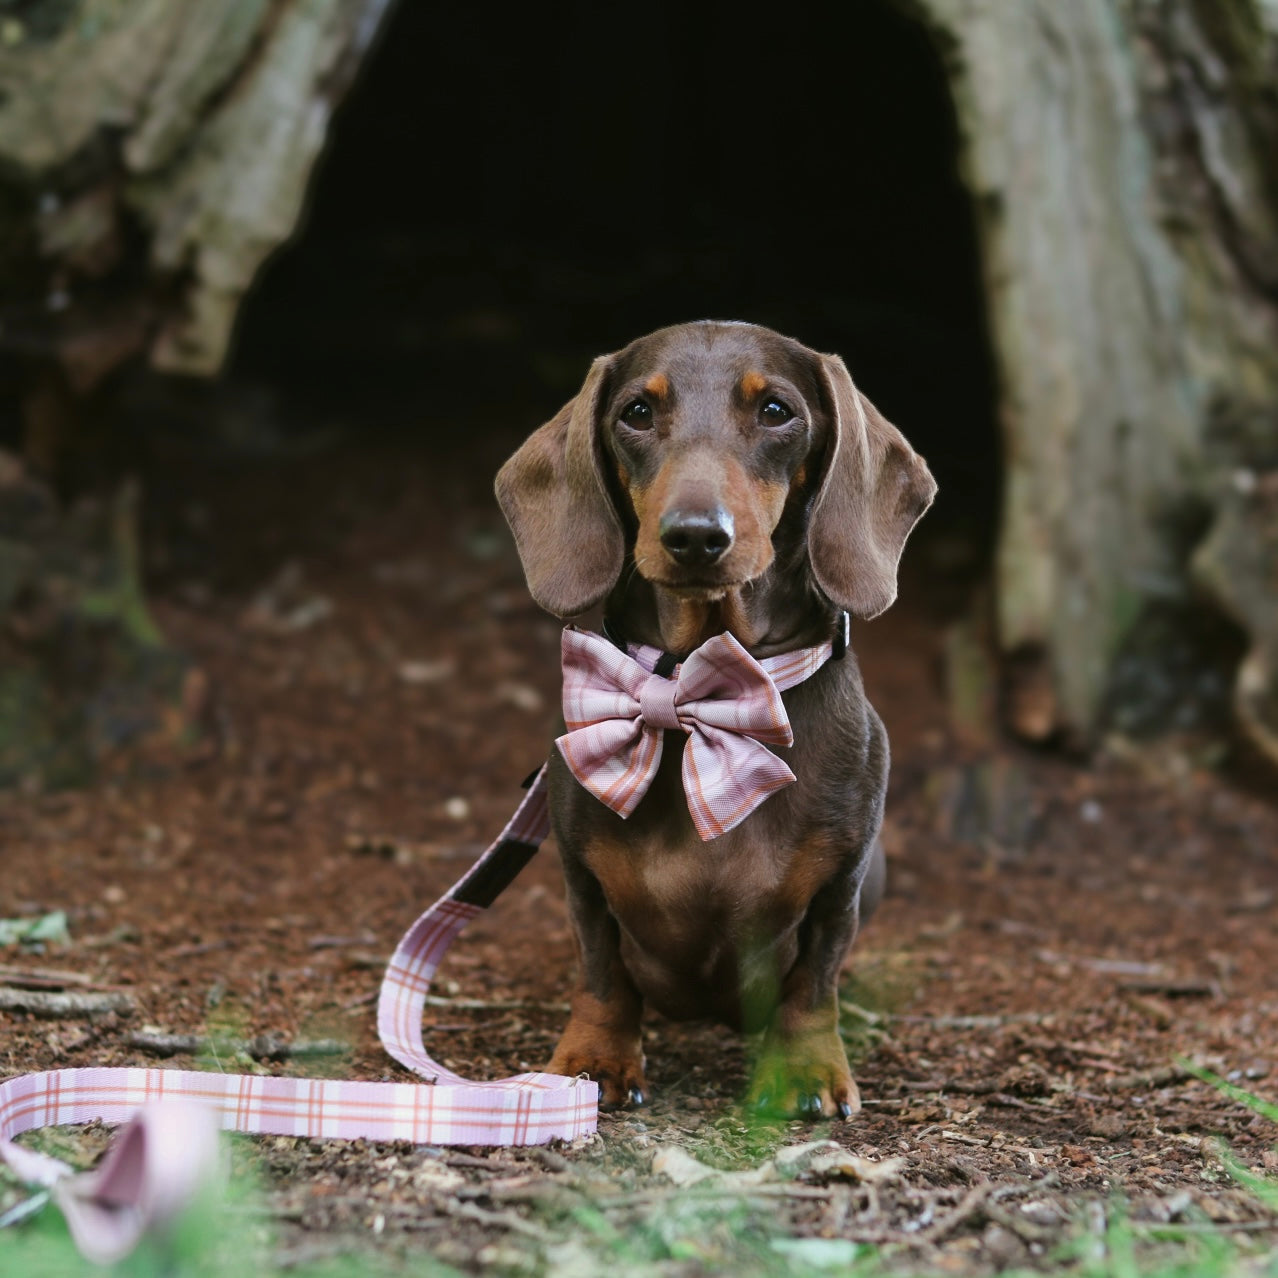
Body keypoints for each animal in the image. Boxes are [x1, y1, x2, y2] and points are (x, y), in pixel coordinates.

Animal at [493, 319, 935, 1119]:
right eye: (637, 412)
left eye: (777, 411)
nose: (697, 536)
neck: (701, 686)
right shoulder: (582, 877)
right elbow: (603, 974)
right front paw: (594, 1059)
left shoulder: (842, 884)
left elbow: (814, 980)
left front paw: (804, 1070)